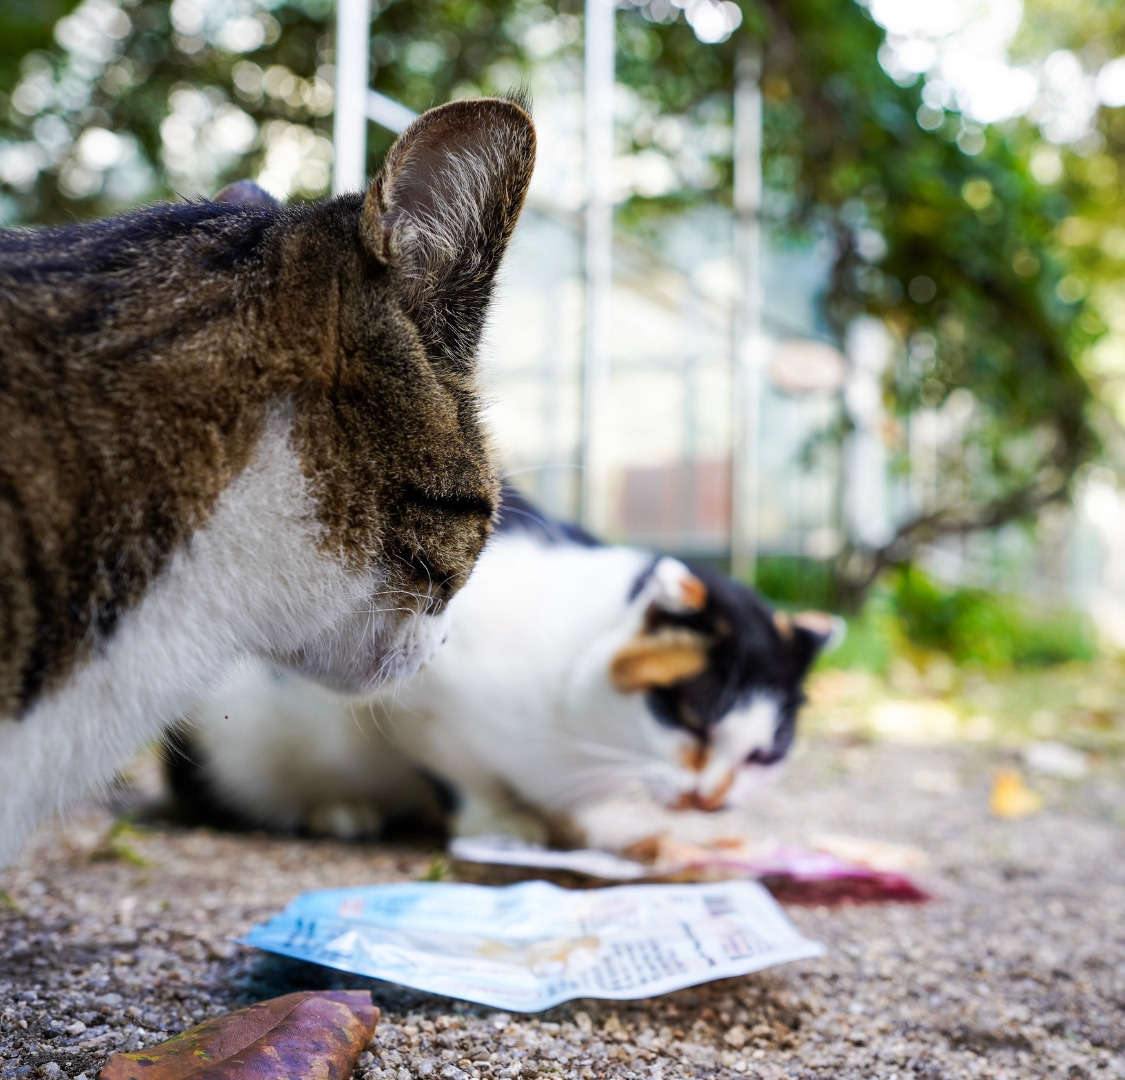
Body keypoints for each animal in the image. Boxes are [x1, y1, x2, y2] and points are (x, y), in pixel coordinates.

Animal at [168, 486, 837, 844]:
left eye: (764, 756)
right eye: (692, 719)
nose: (709, 800)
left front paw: (562, 824)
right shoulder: (415, 690)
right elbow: (461, 771)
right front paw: (502, 823)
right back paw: (338, 814)